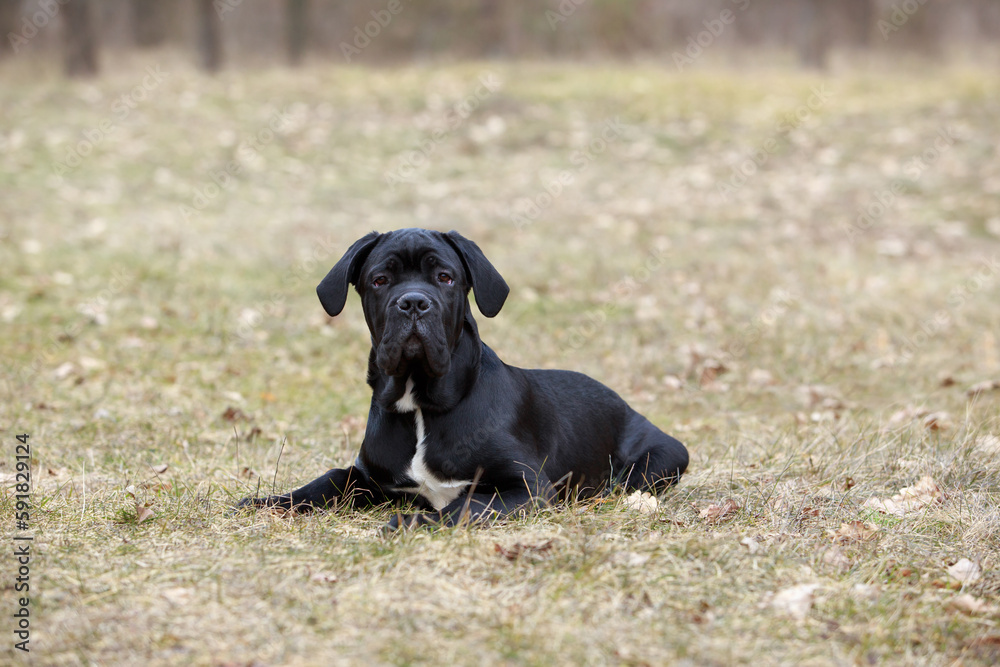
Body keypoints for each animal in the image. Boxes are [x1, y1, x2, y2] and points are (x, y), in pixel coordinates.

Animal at [236, 230, 688, 532]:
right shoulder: (368, 477)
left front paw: (411, 521)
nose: (413, 302)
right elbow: (326, 480)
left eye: (445, 277)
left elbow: (465, 506)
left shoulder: (526, 486)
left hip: (663, 458)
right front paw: (270, 501)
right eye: (380, 280)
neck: (420, 402)